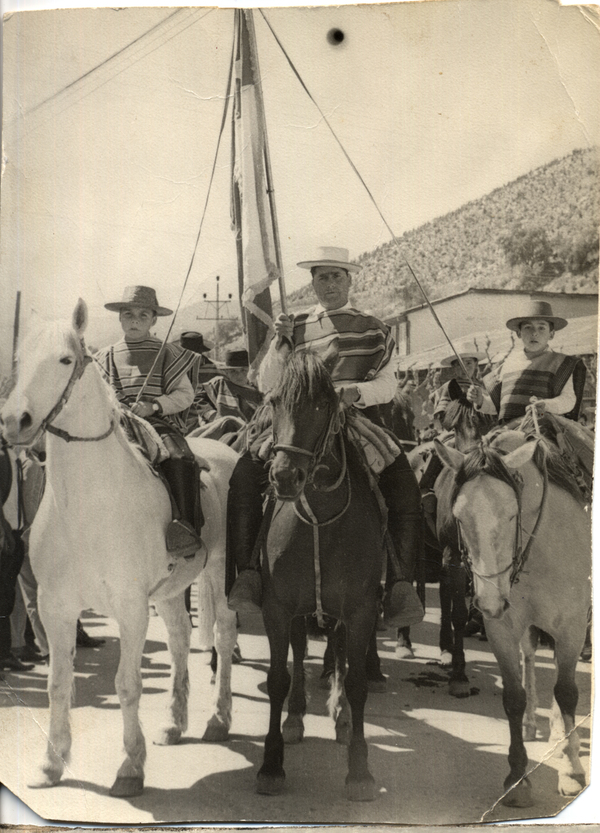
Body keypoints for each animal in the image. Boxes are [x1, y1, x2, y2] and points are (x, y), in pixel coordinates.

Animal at [0, 300, 239, 800]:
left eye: (65, 360)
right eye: (18, 361)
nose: (15, 423)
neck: (87, 504)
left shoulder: (129, 607)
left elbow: (127, 685)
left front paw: (130, 767)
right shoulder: (55, 607)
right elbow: (58, 684)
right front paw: (51, 764)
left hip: (221, 573)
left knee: (224, 637)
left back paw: (218, 718)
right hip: (171, 590)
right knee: (180, 639)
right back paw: (173, 723)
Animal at [436, 432, 592, 808]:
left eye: (511, 514)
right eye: (459, 516)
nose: (489, 600)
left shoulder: (572, 626)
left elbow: (567, 692)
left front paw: (571, 770)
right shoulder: (503, 629)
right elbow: (514, 697)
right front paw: (518, 778)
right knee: (531, 657)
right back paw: (534, 725)